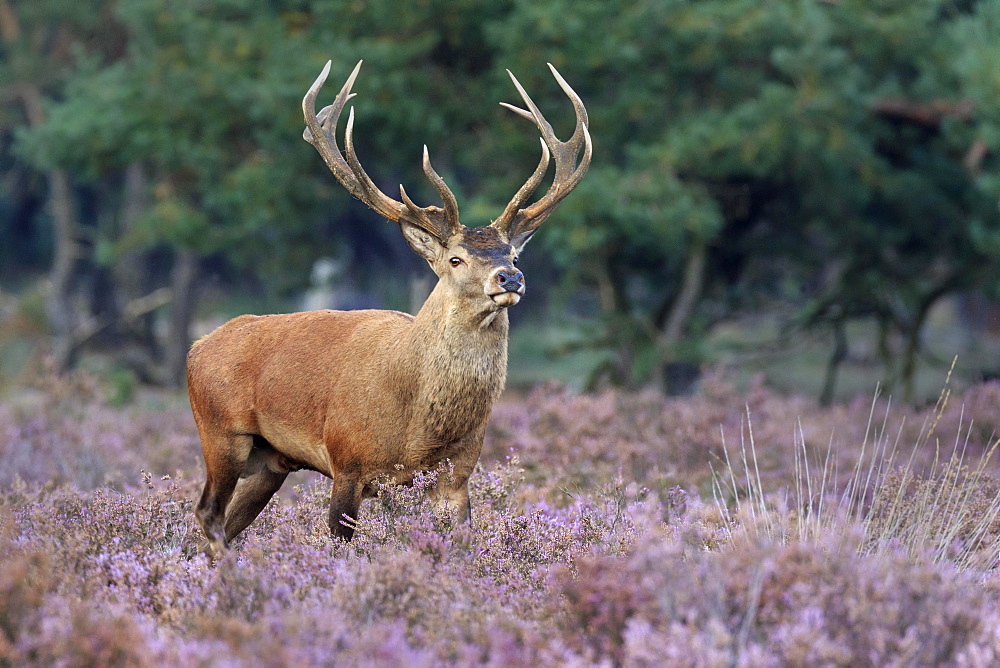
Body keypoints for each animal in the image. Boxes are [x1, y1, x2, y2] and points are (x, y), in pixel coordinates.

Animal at [187, 60, 588, 556]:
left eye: (513, 255)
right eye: (455, 259)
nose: (509, 278)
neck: (417, 428)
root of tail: (196, 348)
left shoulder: (457, 473)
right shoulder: (347, 459)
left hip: (270, 461)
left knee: (226, 522)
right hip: (221, 432)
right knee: (207, 512)